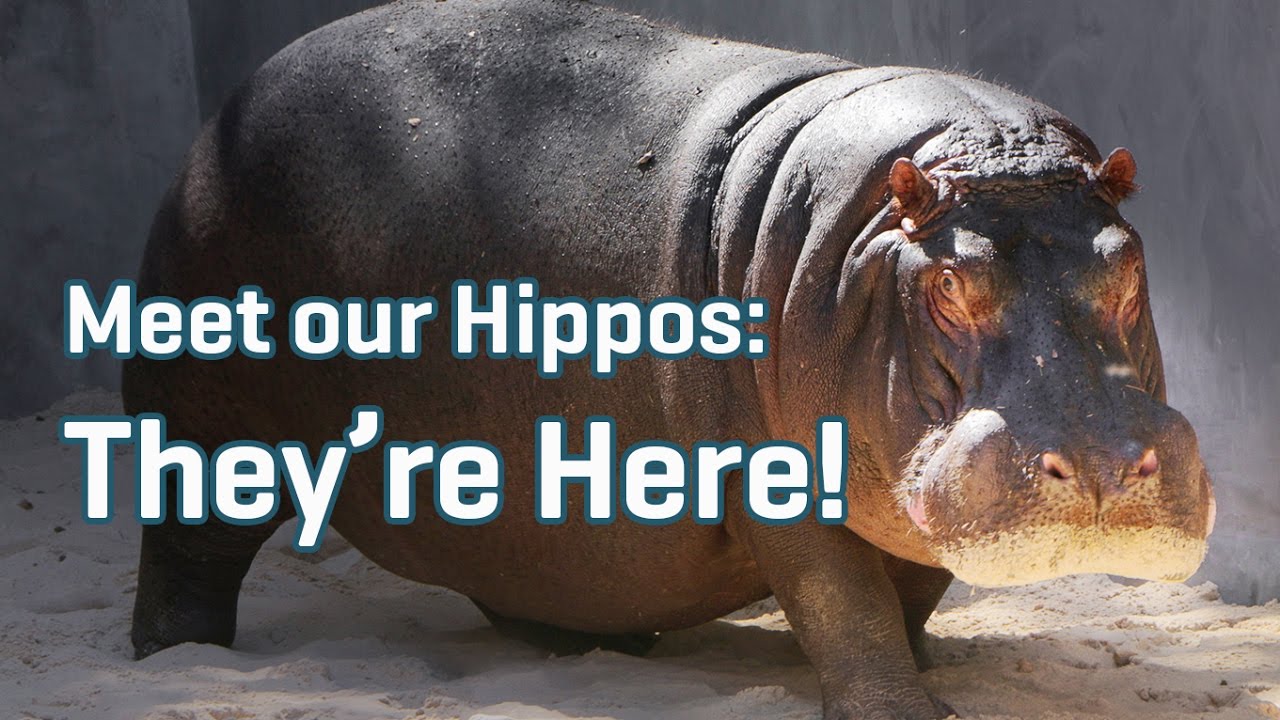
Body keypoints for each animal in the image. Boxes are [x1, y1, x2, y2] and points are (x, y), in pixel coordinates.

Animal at [124, 1, 1216, 718]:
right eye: (949, 283)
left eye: (1127, 264)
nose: (1107, 466)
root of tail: (230, 105)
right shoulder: (778, 477)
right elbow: (842, 599)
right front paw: (898, 709)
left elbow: (908, 588)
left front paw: (925, 674)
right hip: (201, 414)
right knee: (187, 542)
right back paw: (176, 658)